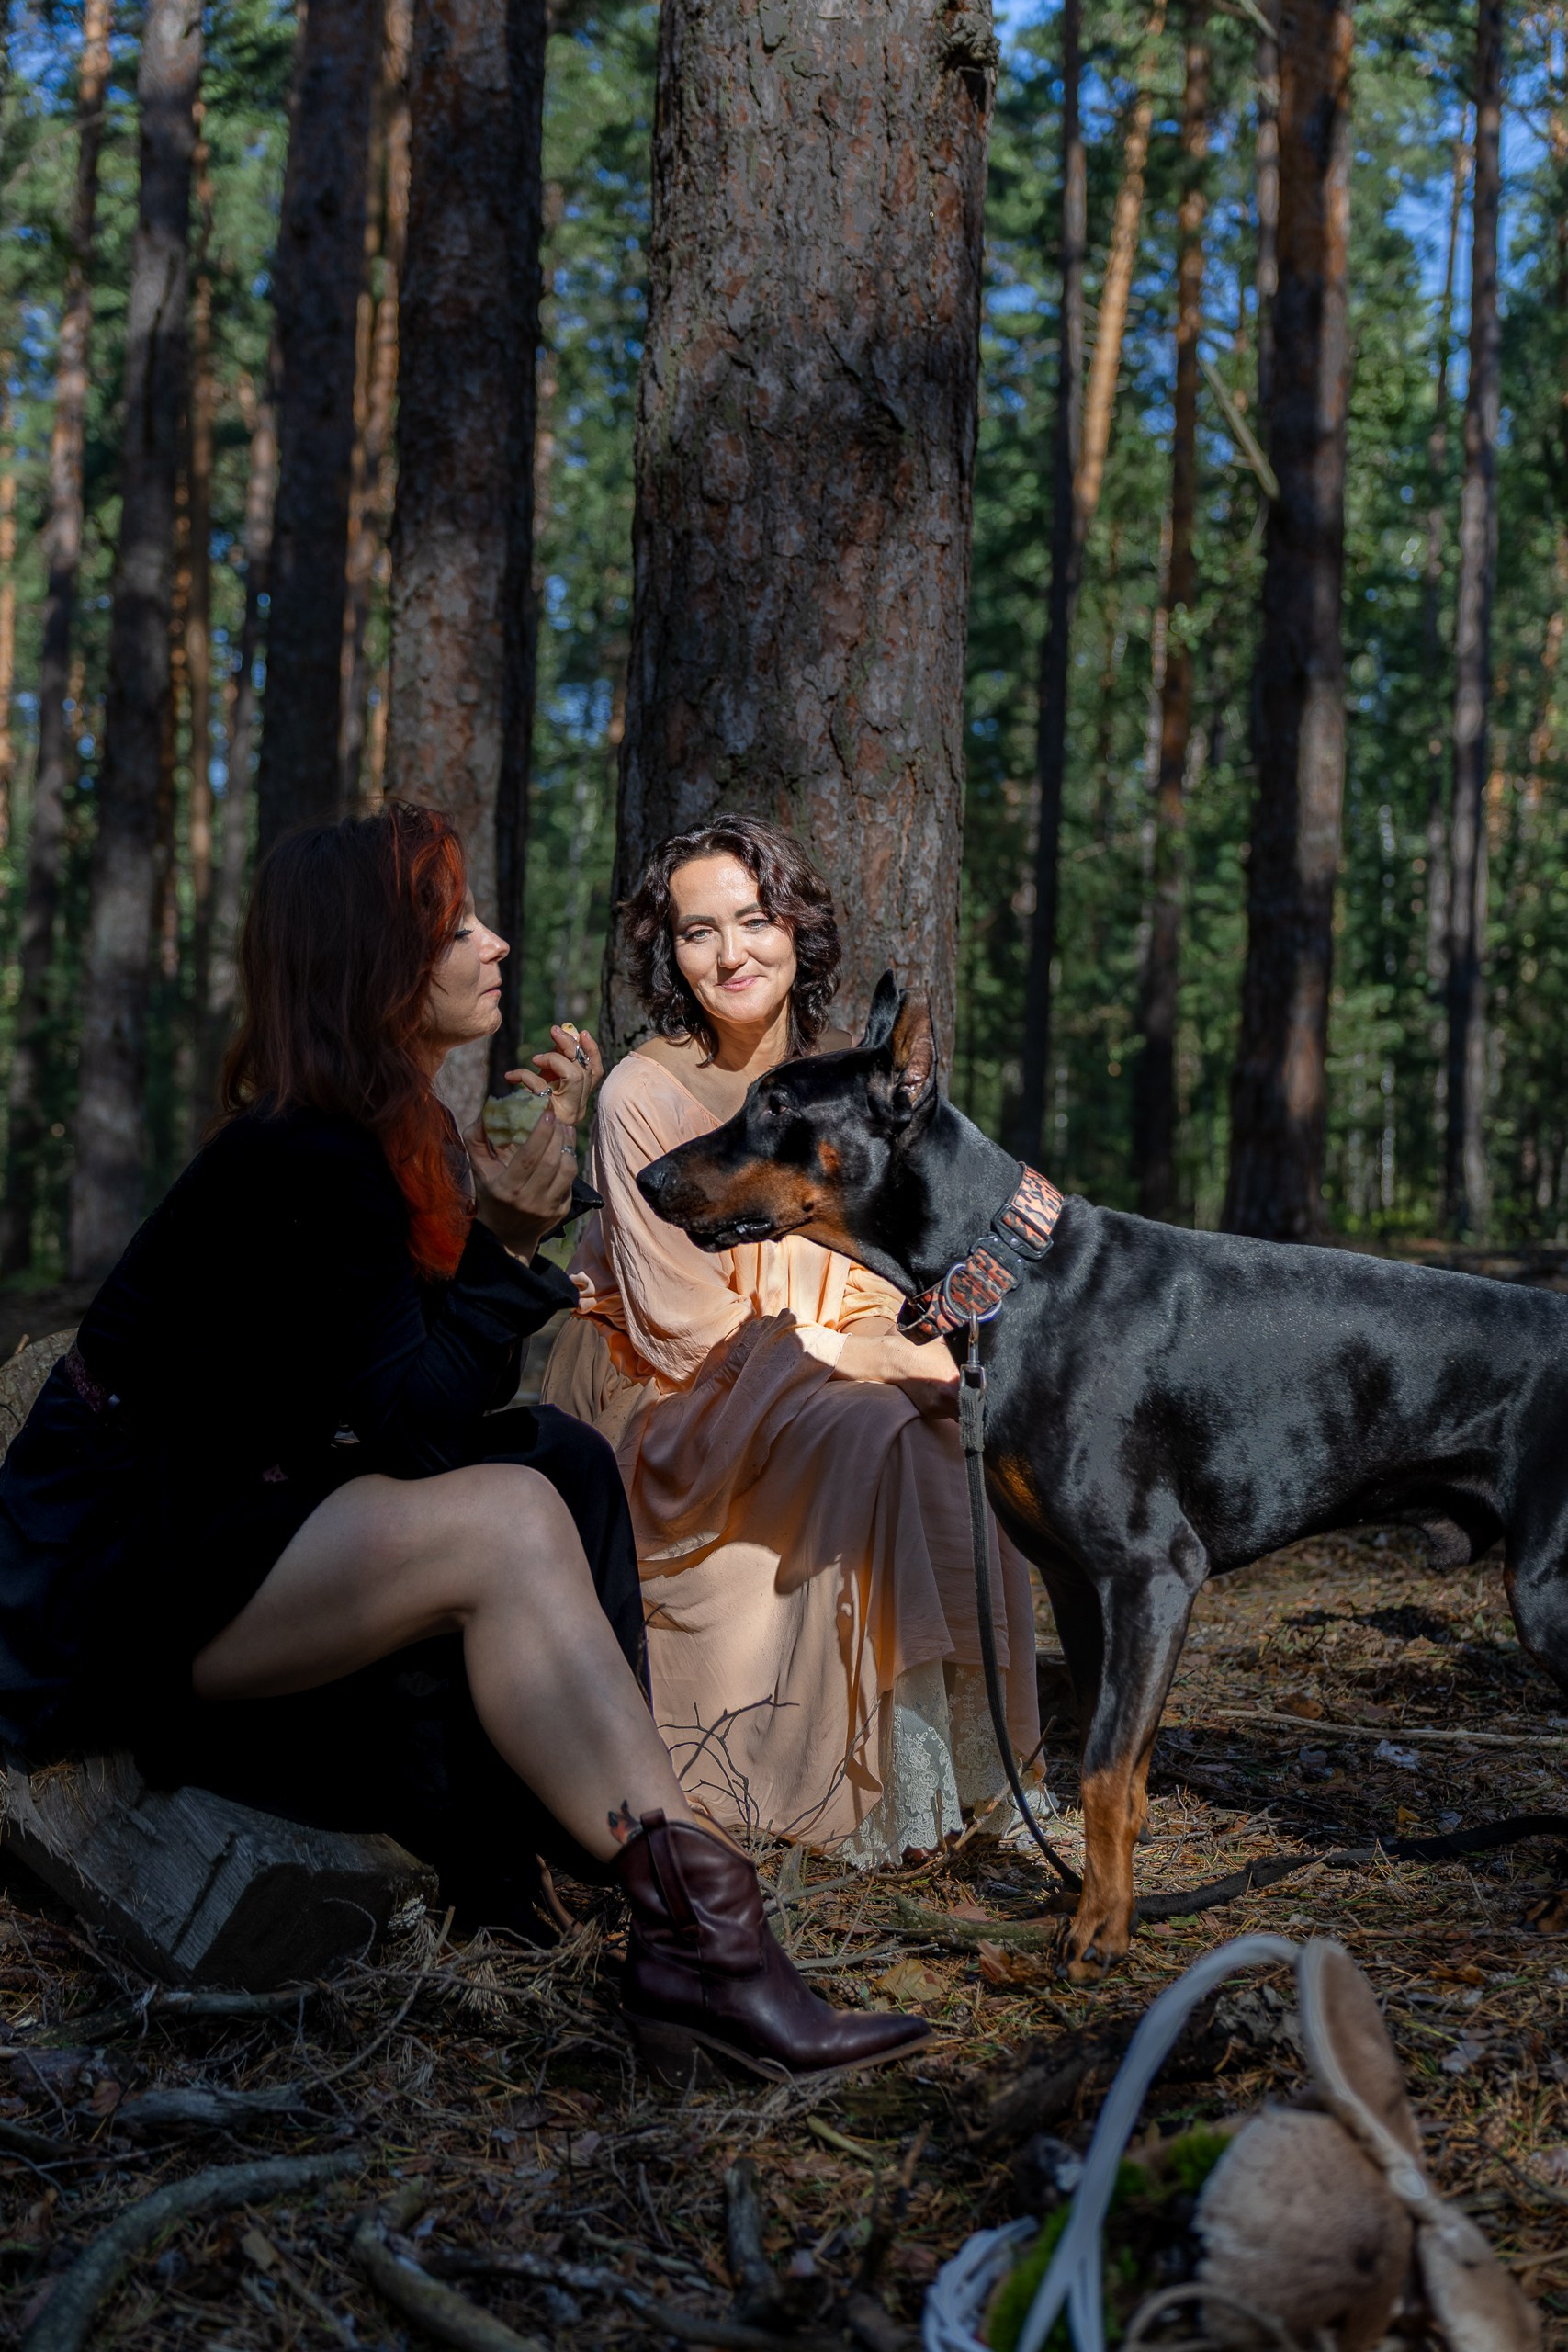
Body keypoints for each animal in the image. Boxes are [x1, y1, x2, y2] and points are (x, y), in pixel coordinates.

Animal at [635, 972, 1568, 1974]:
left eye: (774, 1105)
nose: (645, 1180)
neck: (1006, 1276)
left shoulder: (1151, 1571)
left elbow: (1103, 1766)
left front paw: (1101, 1927)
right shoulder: (1077, 1581)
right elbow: (1117, 1750)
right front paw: (1099, 1887)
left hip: (1546, 1591)